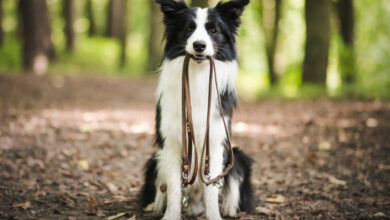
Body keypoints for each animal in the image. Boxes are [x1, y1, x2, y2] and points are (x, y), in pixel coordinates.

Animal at [139, 0, 253, 219]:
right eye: (188, 29)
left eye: (213, 30)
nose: (199, 45)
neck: (197, 75)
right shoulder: (172, 142)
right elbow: (174, 188)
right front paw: (170, 215)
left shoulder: (216, 141)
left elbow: (211, 189)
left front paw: (215, 215)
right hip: (155, 159)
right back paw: (154, 206)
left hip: (237, 157)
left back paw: (229, 208)